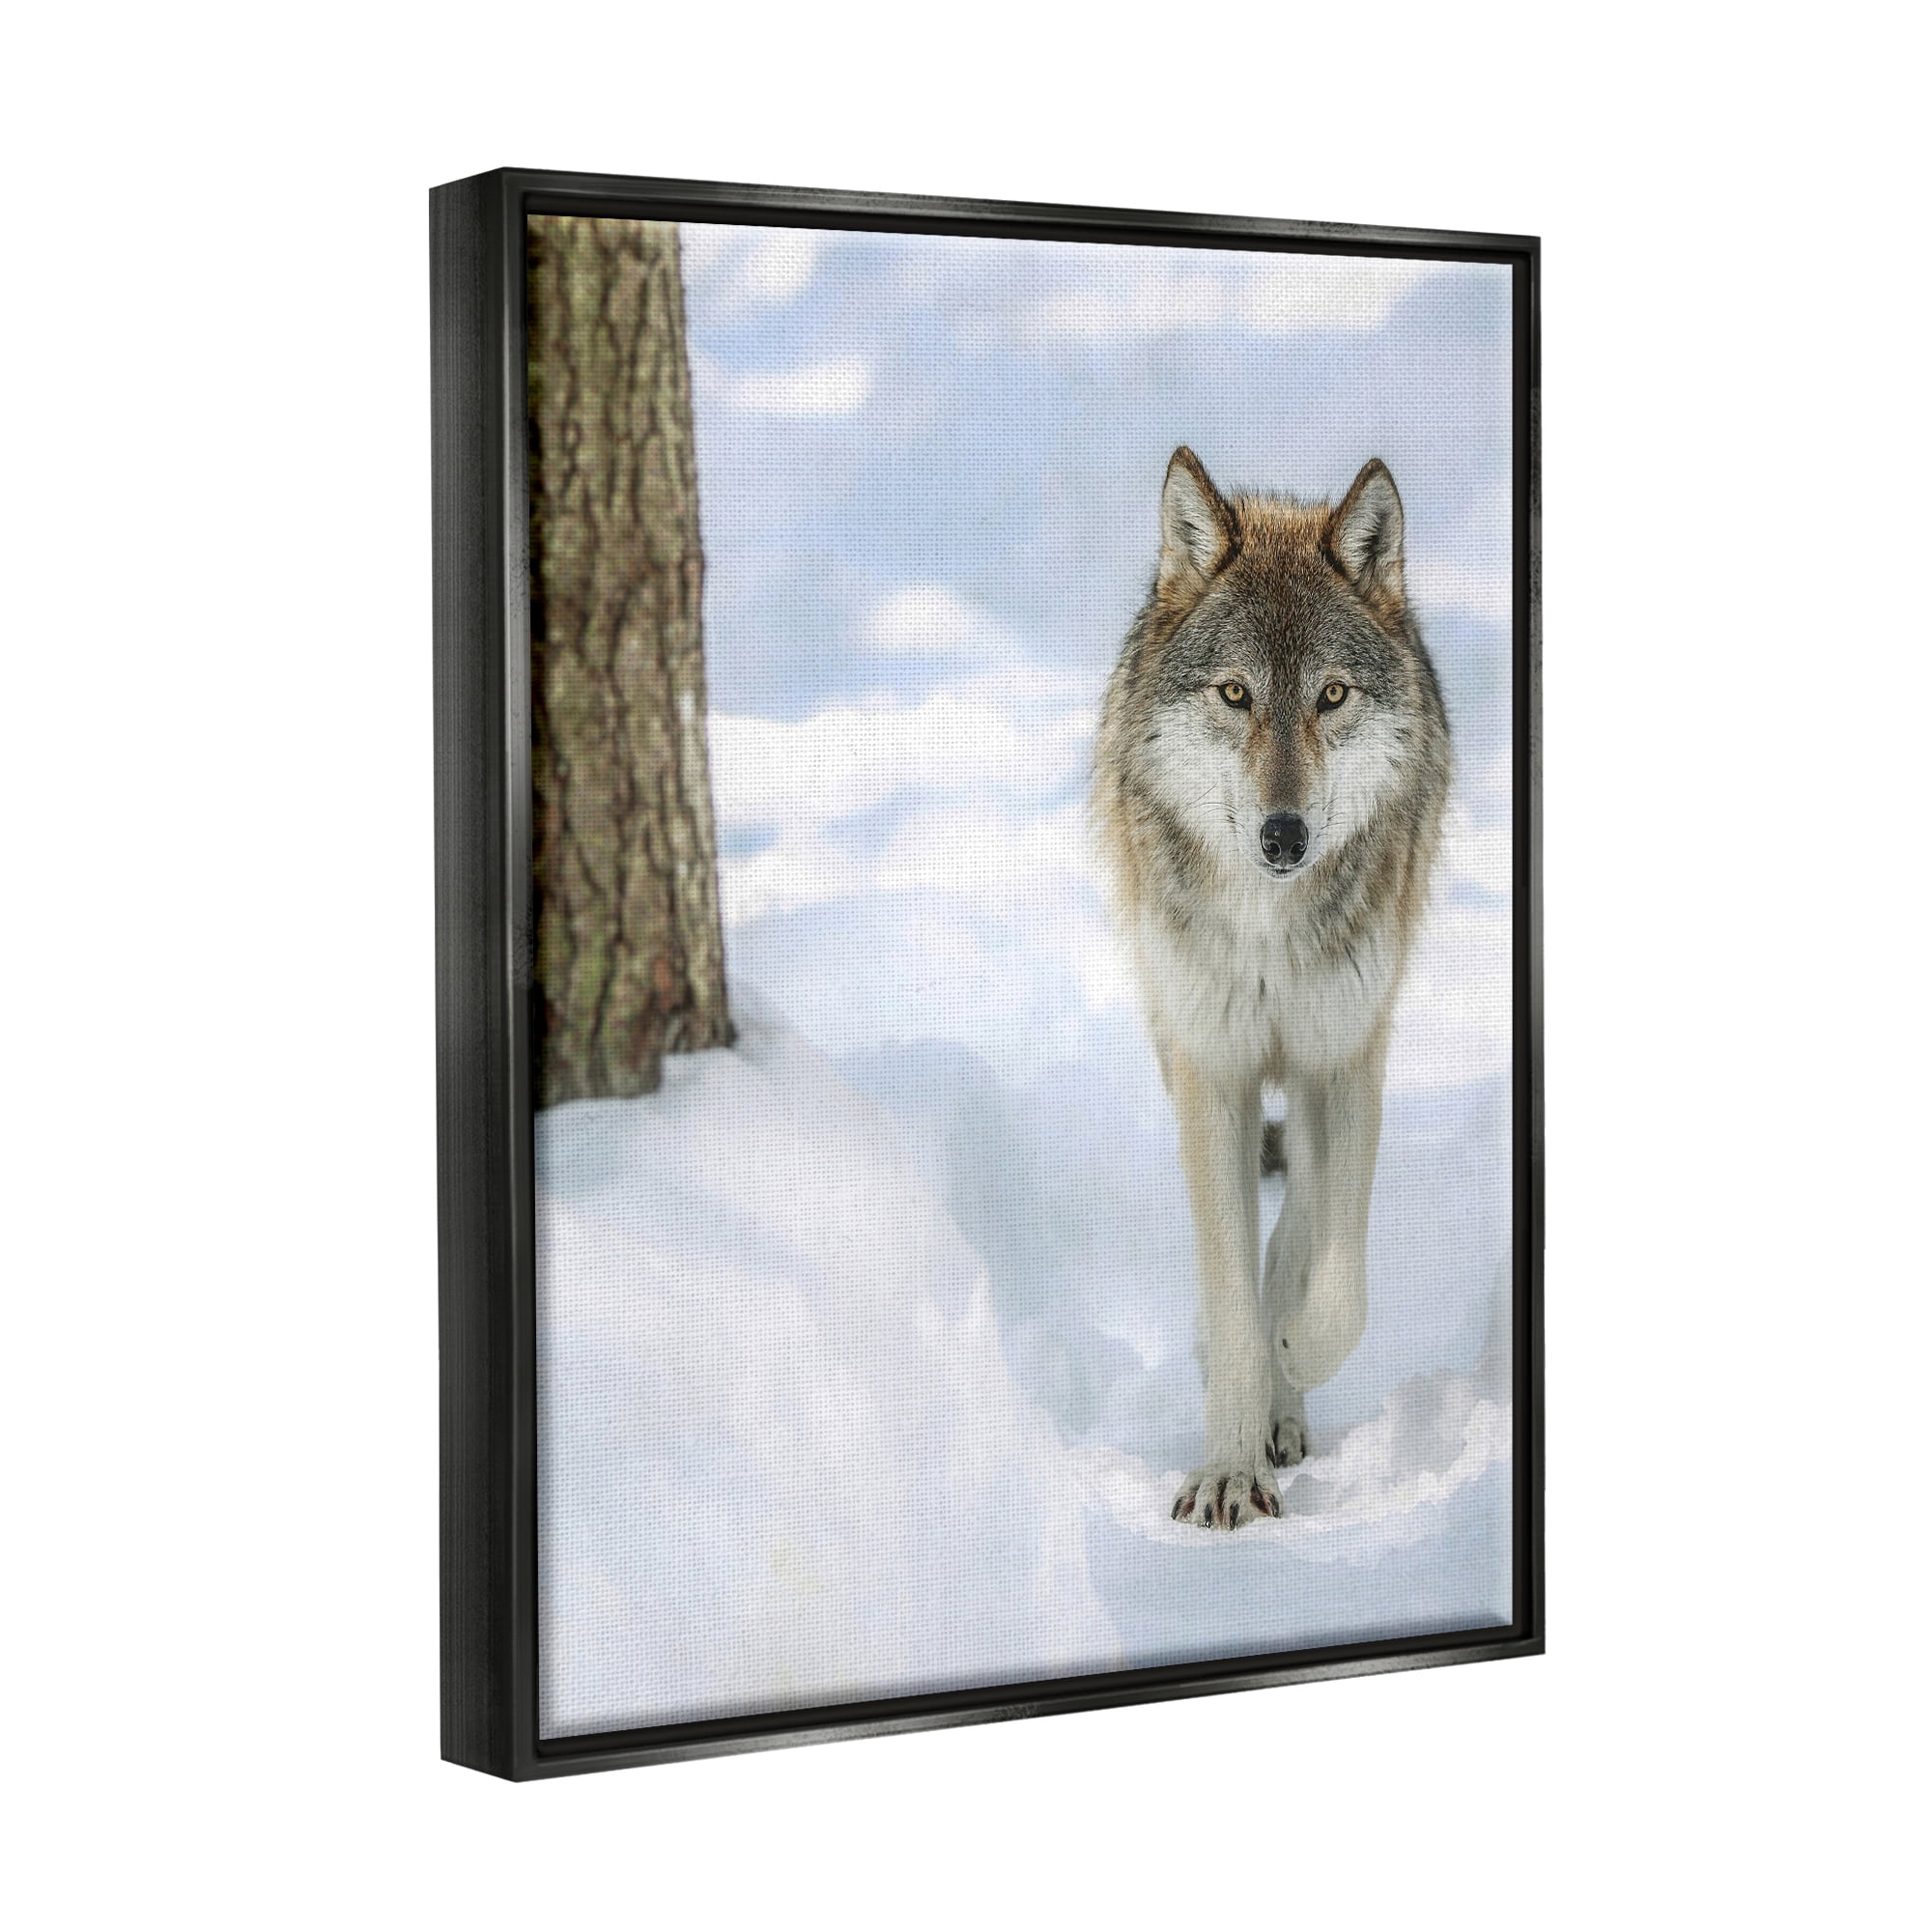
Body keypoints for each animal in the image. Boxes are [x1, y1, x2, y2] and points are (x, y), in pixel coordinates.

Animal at [1093, 446, 1451, 1530]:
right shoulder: (1210, 1068)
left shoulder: (1345, 1055)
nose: (1283, 835)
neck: (1268, 931)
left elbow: (1335, 1280)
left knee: (1302, 1214)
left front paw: (1293, 1351)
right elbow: (1228, 1280)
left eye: (1330, 695)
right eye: (1235, 694)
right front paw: (1226, 1466)